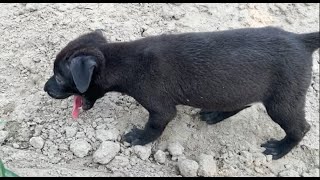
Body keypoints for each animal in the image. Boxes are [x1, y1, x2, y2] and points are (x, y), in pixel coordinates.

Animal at [43, 26, 318, 159]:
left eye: (59, 77)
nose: (45, 89)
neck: (124, 62)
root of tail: (301, 40)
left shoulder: (160, 107)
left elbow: (155, 126)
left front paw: (138, 138)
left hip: (282, 101)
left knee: (300, 128)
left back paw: (280, 149)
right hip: (241, 87)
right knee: (242, 103)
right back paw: (215, 115)